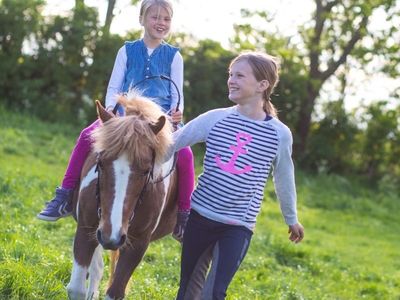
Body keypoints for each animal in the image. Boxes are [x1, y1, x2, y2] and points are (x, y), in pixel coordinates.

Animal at [66, 93, 179, 298]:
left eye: (146, 171)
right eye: (100, 162)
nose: (112, 237)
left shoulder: (138, 244)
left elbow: (115, 291)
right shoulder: (86, 228)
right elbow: (76, 288)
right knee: (97, 268)